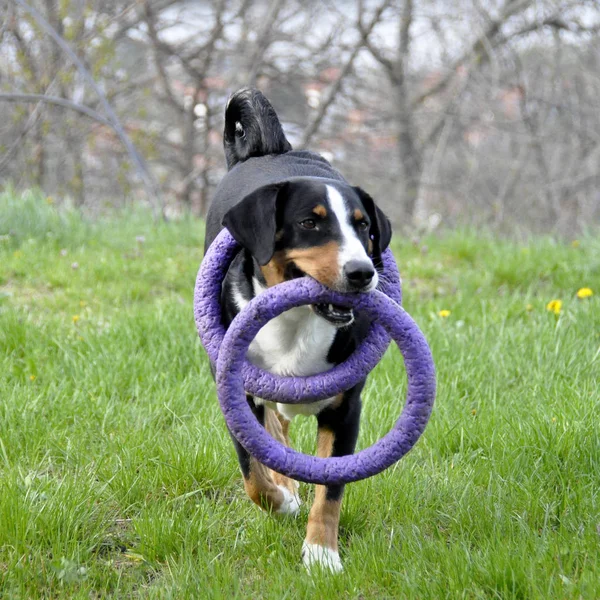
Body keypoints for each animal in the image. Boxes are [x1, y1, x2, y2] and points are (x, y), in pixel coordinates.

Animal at [205, 88, 394, 572]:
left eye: (363, 225)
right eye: (310, 222)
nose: (363, 273)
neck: (296, 322)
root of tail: (270, 150)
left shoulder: (345, 410)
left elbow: (330, 489)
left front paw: (322, 553)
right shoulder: (235, 395)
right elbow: (253, 473)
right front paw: (282, 501)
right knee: (274, 429)